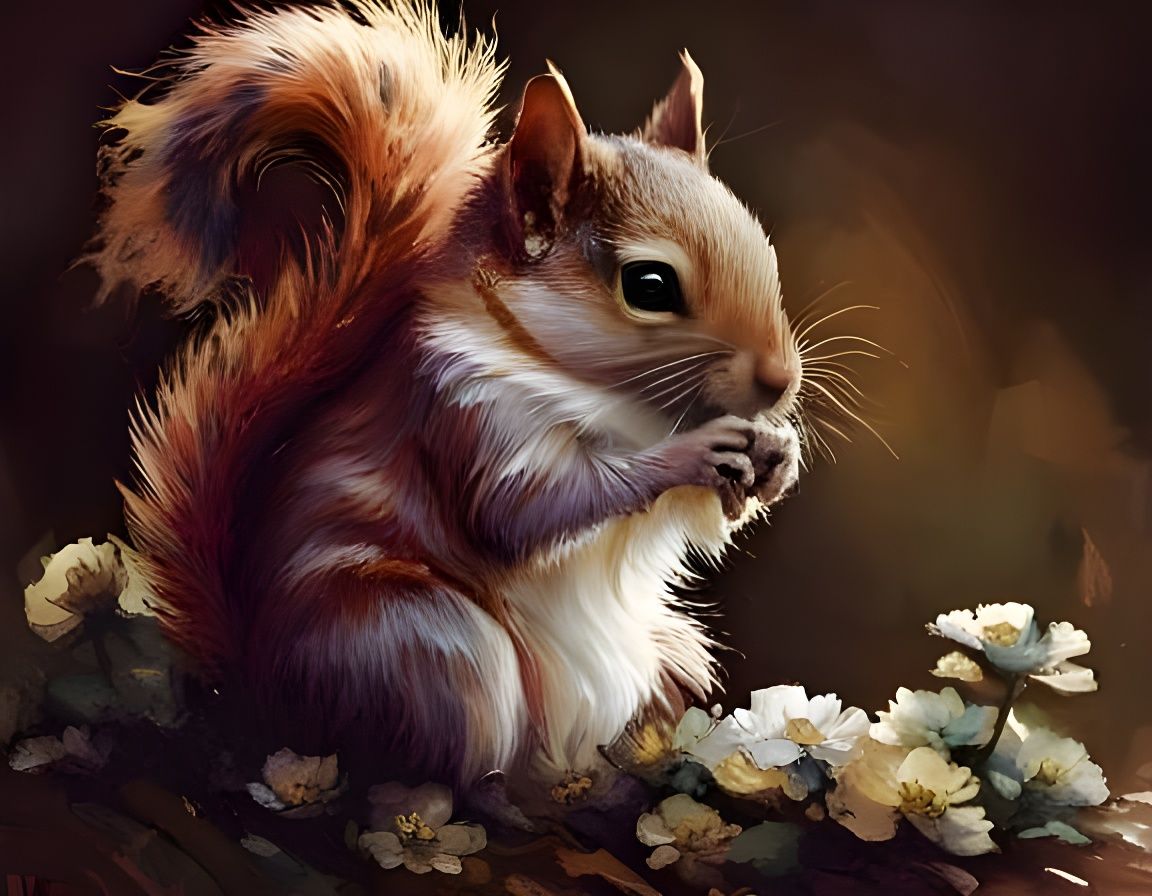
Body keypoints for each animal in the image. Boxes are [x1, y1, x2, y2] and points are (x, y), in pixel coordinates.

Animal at [88, 0, 803, 786]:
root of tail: (252, 692)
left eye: (764, 250)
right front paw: (690, 456)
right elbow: (528, 510)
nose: (781, 382)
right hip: (423, 644)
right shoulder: (464, 414)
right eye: (649, 286)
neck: (624, 405)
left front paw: (776, 456)